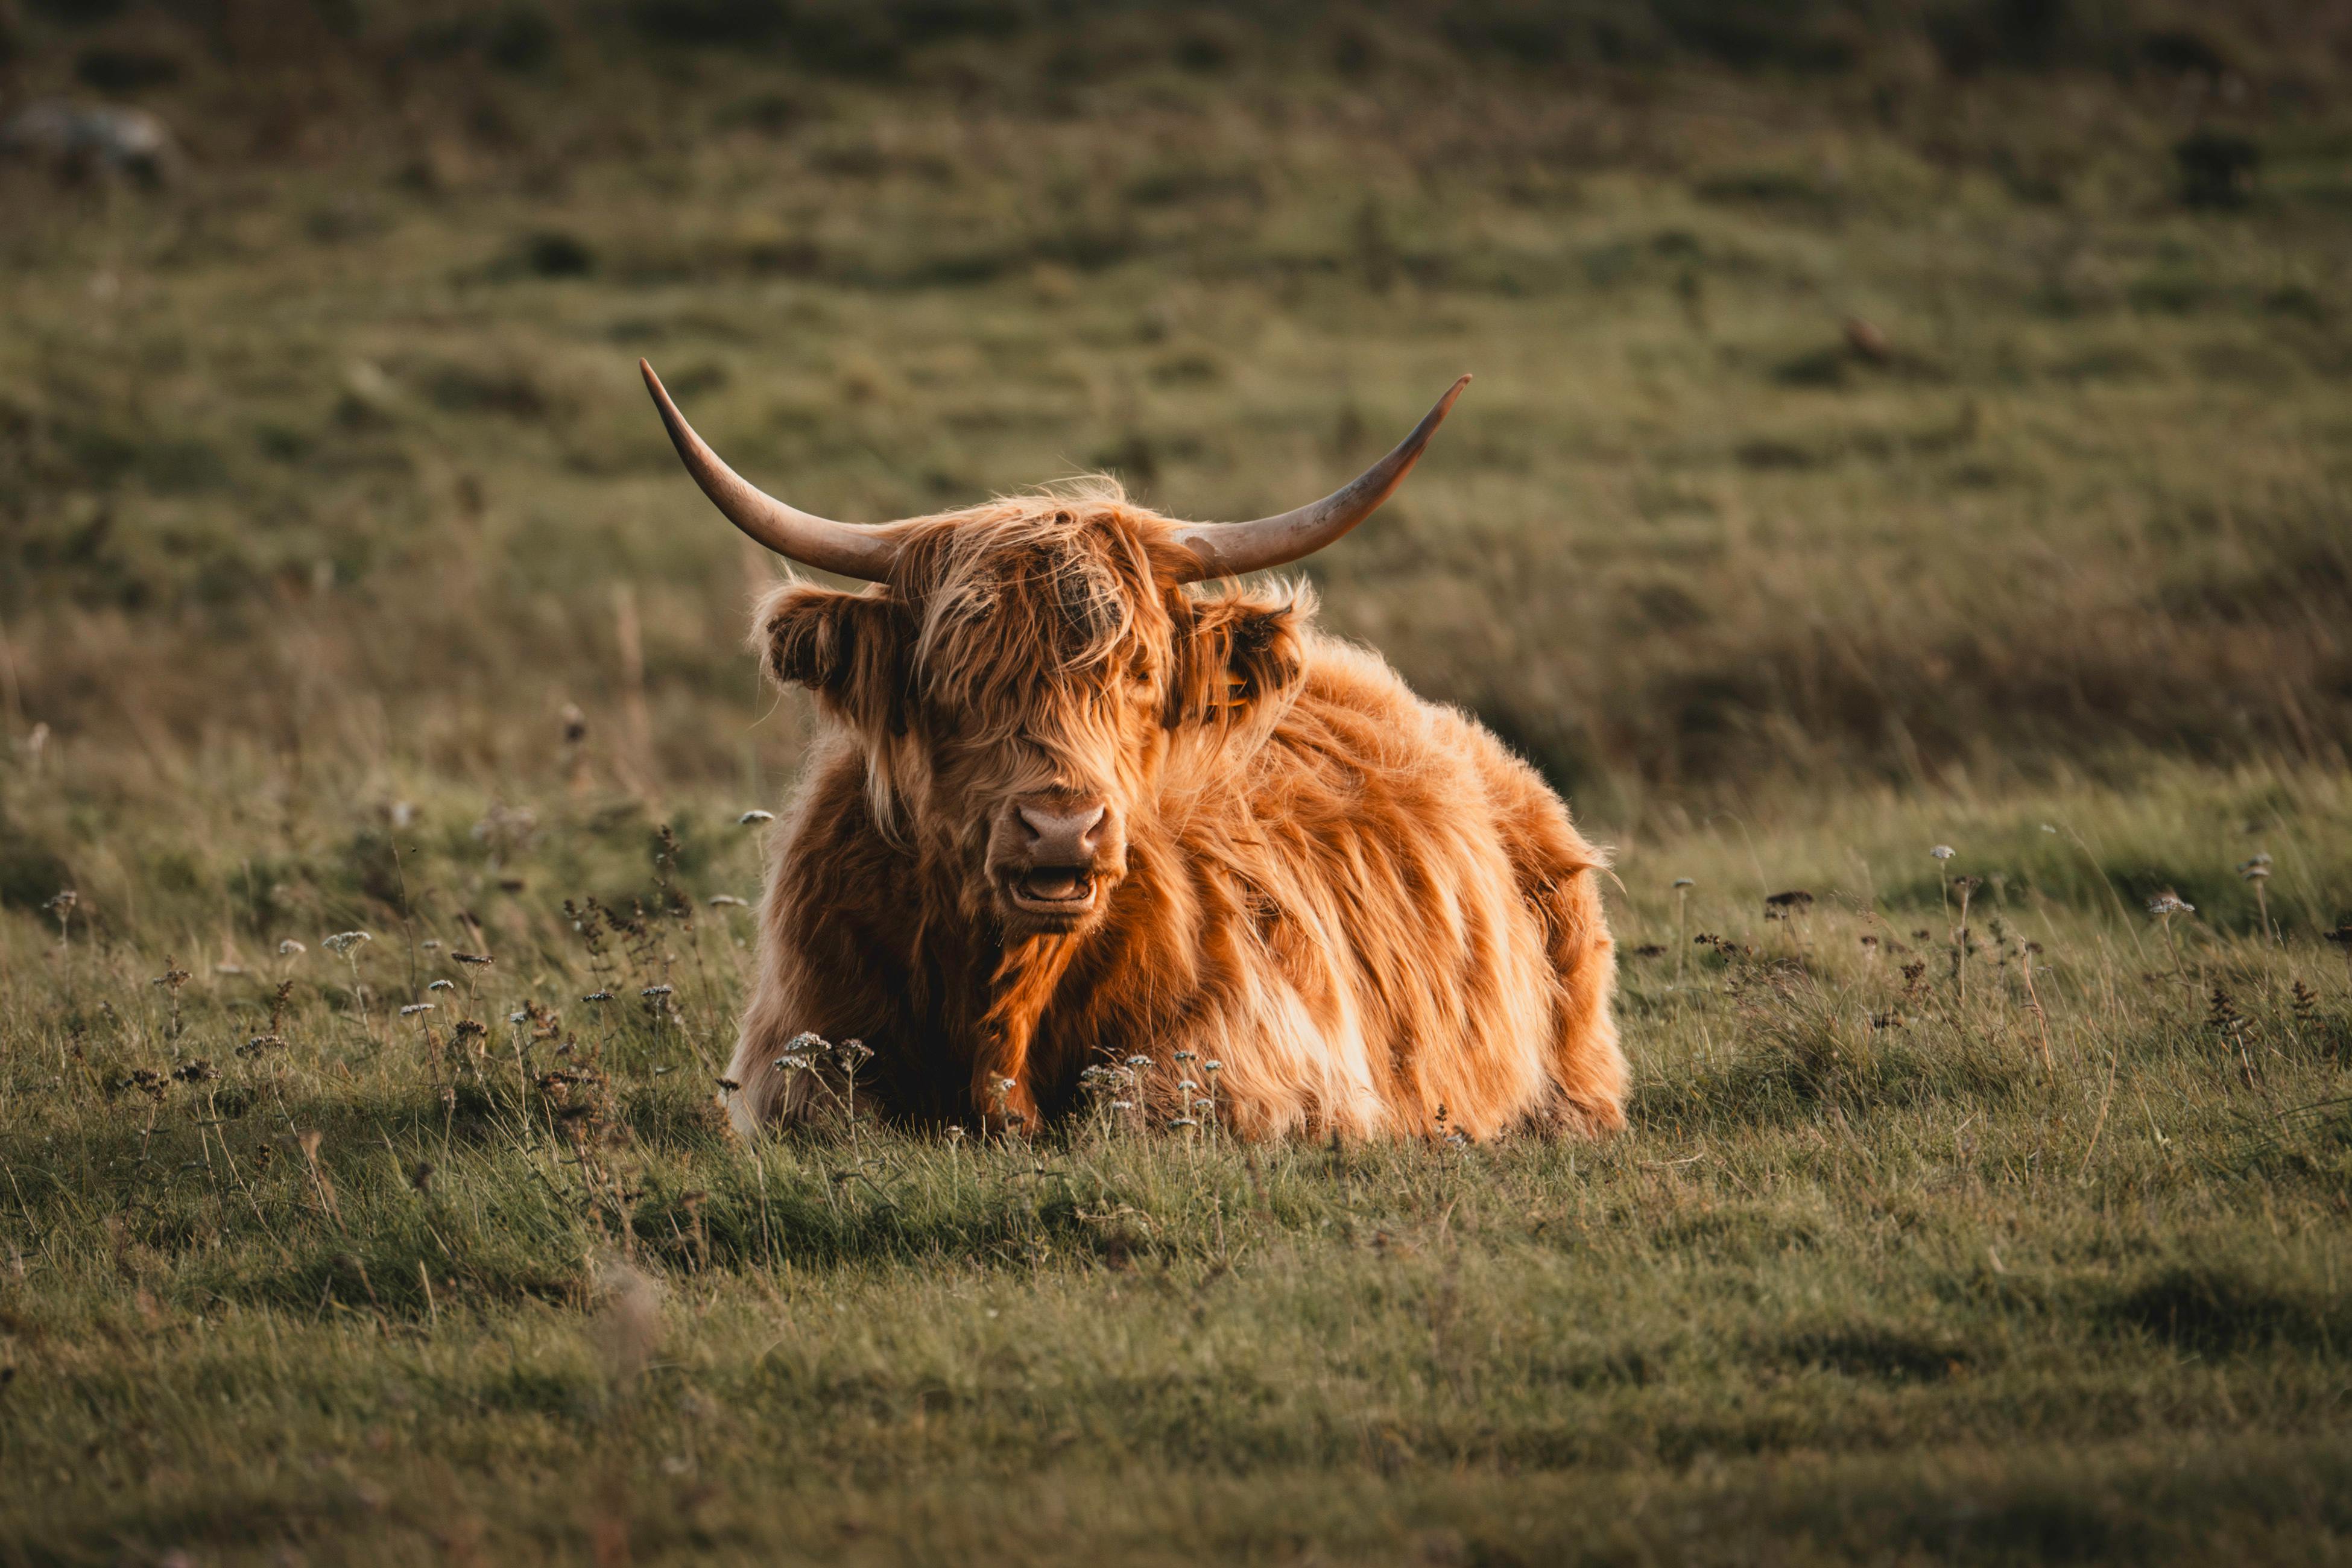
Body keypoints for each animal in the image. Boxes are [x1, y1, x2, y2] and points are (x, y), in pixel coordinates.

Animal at [640, 359, 1624, 1141]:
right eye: (949, 678)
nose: (1060, 829)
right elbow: (836, 1110)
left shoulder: (1267, 1053)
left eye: (1141, 674)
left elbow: (1137, 1105)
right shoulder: (789, 1050)